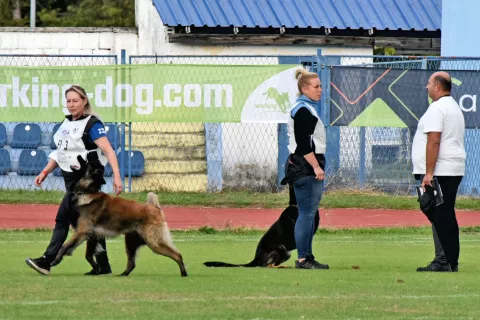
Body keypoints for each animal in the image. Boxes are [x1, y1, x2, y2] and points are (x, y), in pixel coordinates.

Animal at [52, 156, 188, 276]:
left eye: (87, 163)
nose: (80, 155)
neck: (87, 191)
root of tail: (154, 207)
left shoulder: (81, 232)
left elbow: (64, 246)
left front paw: (55, 260)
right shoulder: (92, 235)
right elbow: (88, 256)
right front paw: (96, 268)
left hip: (154, 242)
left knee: (178, 255)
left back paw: (184, 274)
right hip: (131, 242)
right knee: (132, 264)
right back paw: (123, 274)